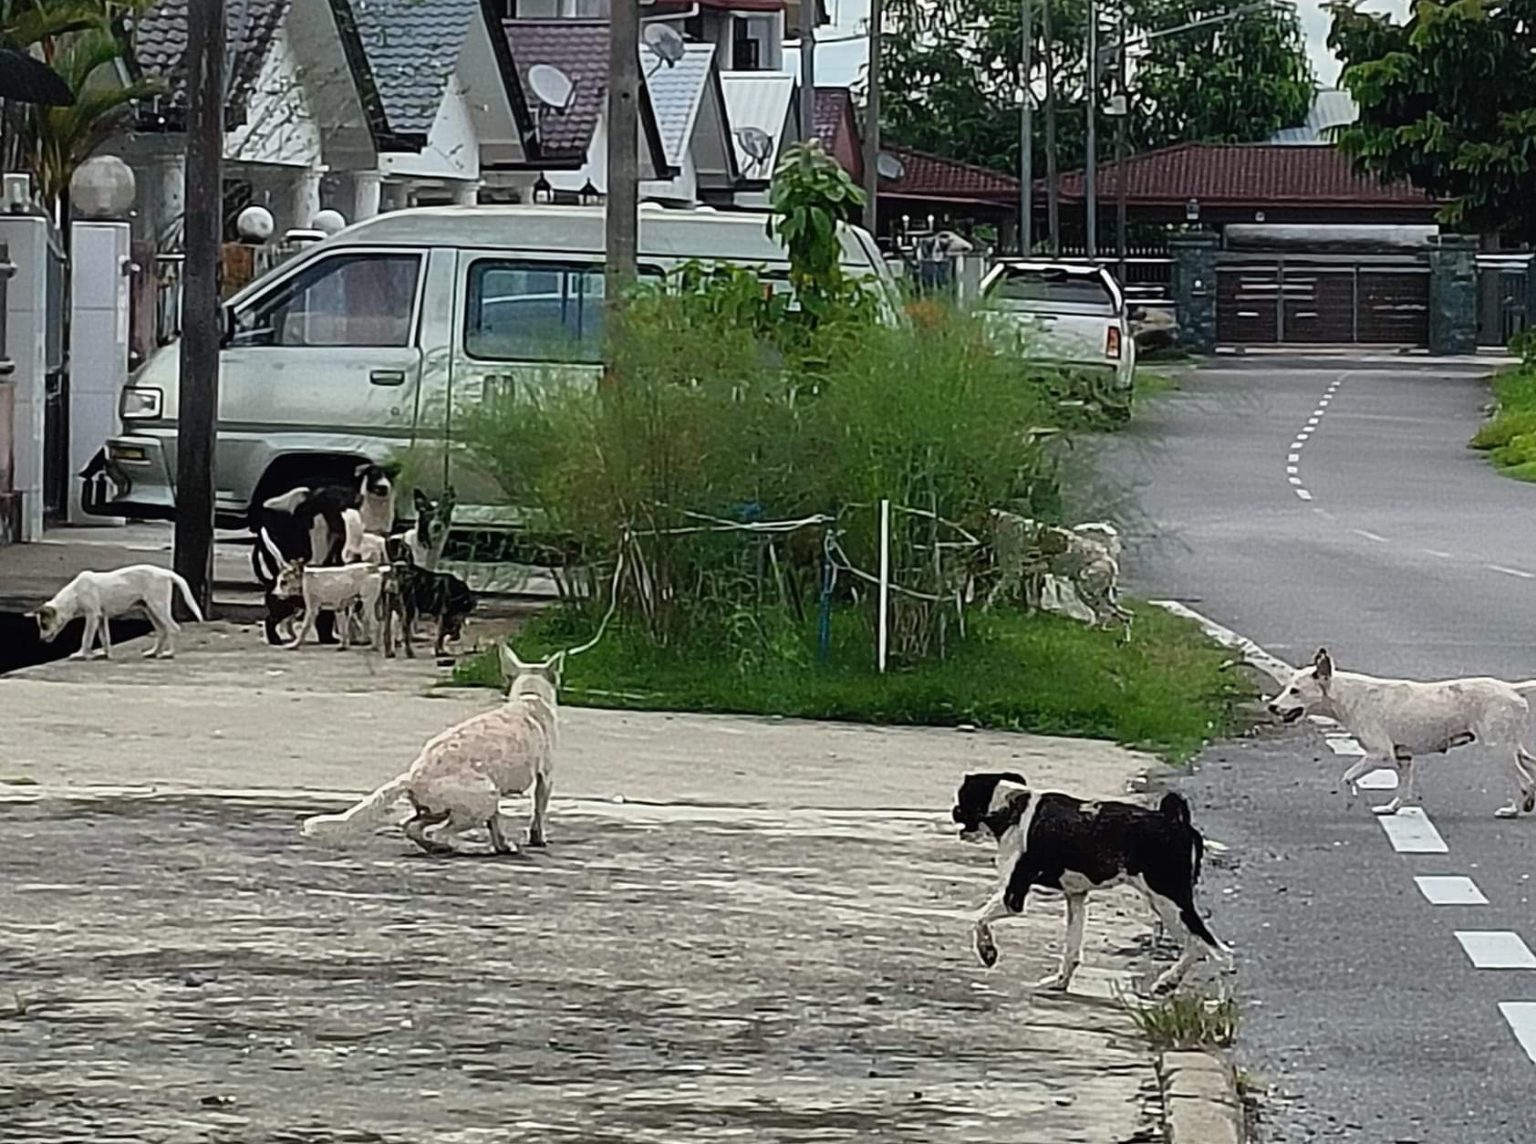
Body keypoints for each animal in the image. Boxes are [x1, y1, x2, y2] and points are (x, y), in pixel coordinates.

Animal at [301, 648, 565, 853]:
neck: (528, 699)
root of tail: (412, 777)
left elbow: (496, 823)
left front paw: (502, 845)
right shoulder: (546, 778)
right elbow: (538, 812)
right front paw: (537, 839)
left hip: (437, 809)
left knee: (412, 827)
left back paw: (435, 846)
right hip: (485, 796)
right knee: (440, 832)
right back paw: (457, 847)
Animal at [946, 770, 1222, 995]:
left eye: (961, 797)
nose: (953, 810)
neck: (1013, 809)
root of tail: (1179, 824)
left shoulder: (1011, 896)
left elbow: (979, 918)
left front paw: (987, 951)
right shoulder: (1076, 897)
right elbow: (1071, 951)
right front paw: (1060, 982)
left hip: (1169, 901)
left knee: (1213, 951)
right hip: (1166, 903)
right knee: (1202, 947)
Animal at [1265, 648, 1536, 816]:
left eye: (1295, 691)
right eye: (1287, 688)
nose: (1272, 707)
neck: (1348, 695)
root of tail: (1511, 688)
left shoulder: (1380, 754)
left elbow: (1347, 776)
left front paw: (1350, 799)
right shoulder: (1404, 757)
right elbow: (1403, 790)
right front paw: (1391, 809)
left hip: (1499, 752)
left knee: (1524, 782)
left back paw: (1514, 809)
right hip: (1513, 750)